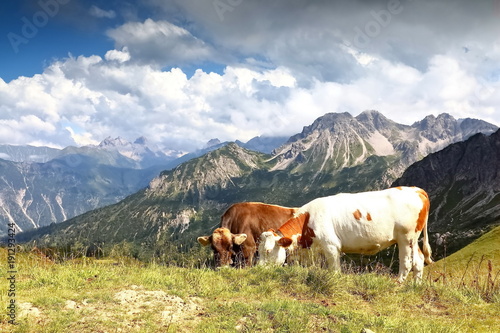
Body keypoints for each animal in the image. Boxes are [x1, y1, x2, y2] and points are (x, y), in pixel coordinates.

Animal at [270, 185, 434, 282]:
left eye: (269, 251)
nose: (263, 270)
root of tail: (416, 189)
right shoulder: (316, 250)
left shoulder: (331, 246)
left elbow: (334, 269)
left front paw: (335, 279)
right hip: (413, 238)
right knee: (418, 260)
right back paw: (415, 286)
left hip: (406, 237)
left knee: (407, 262)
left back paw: (398, 283)